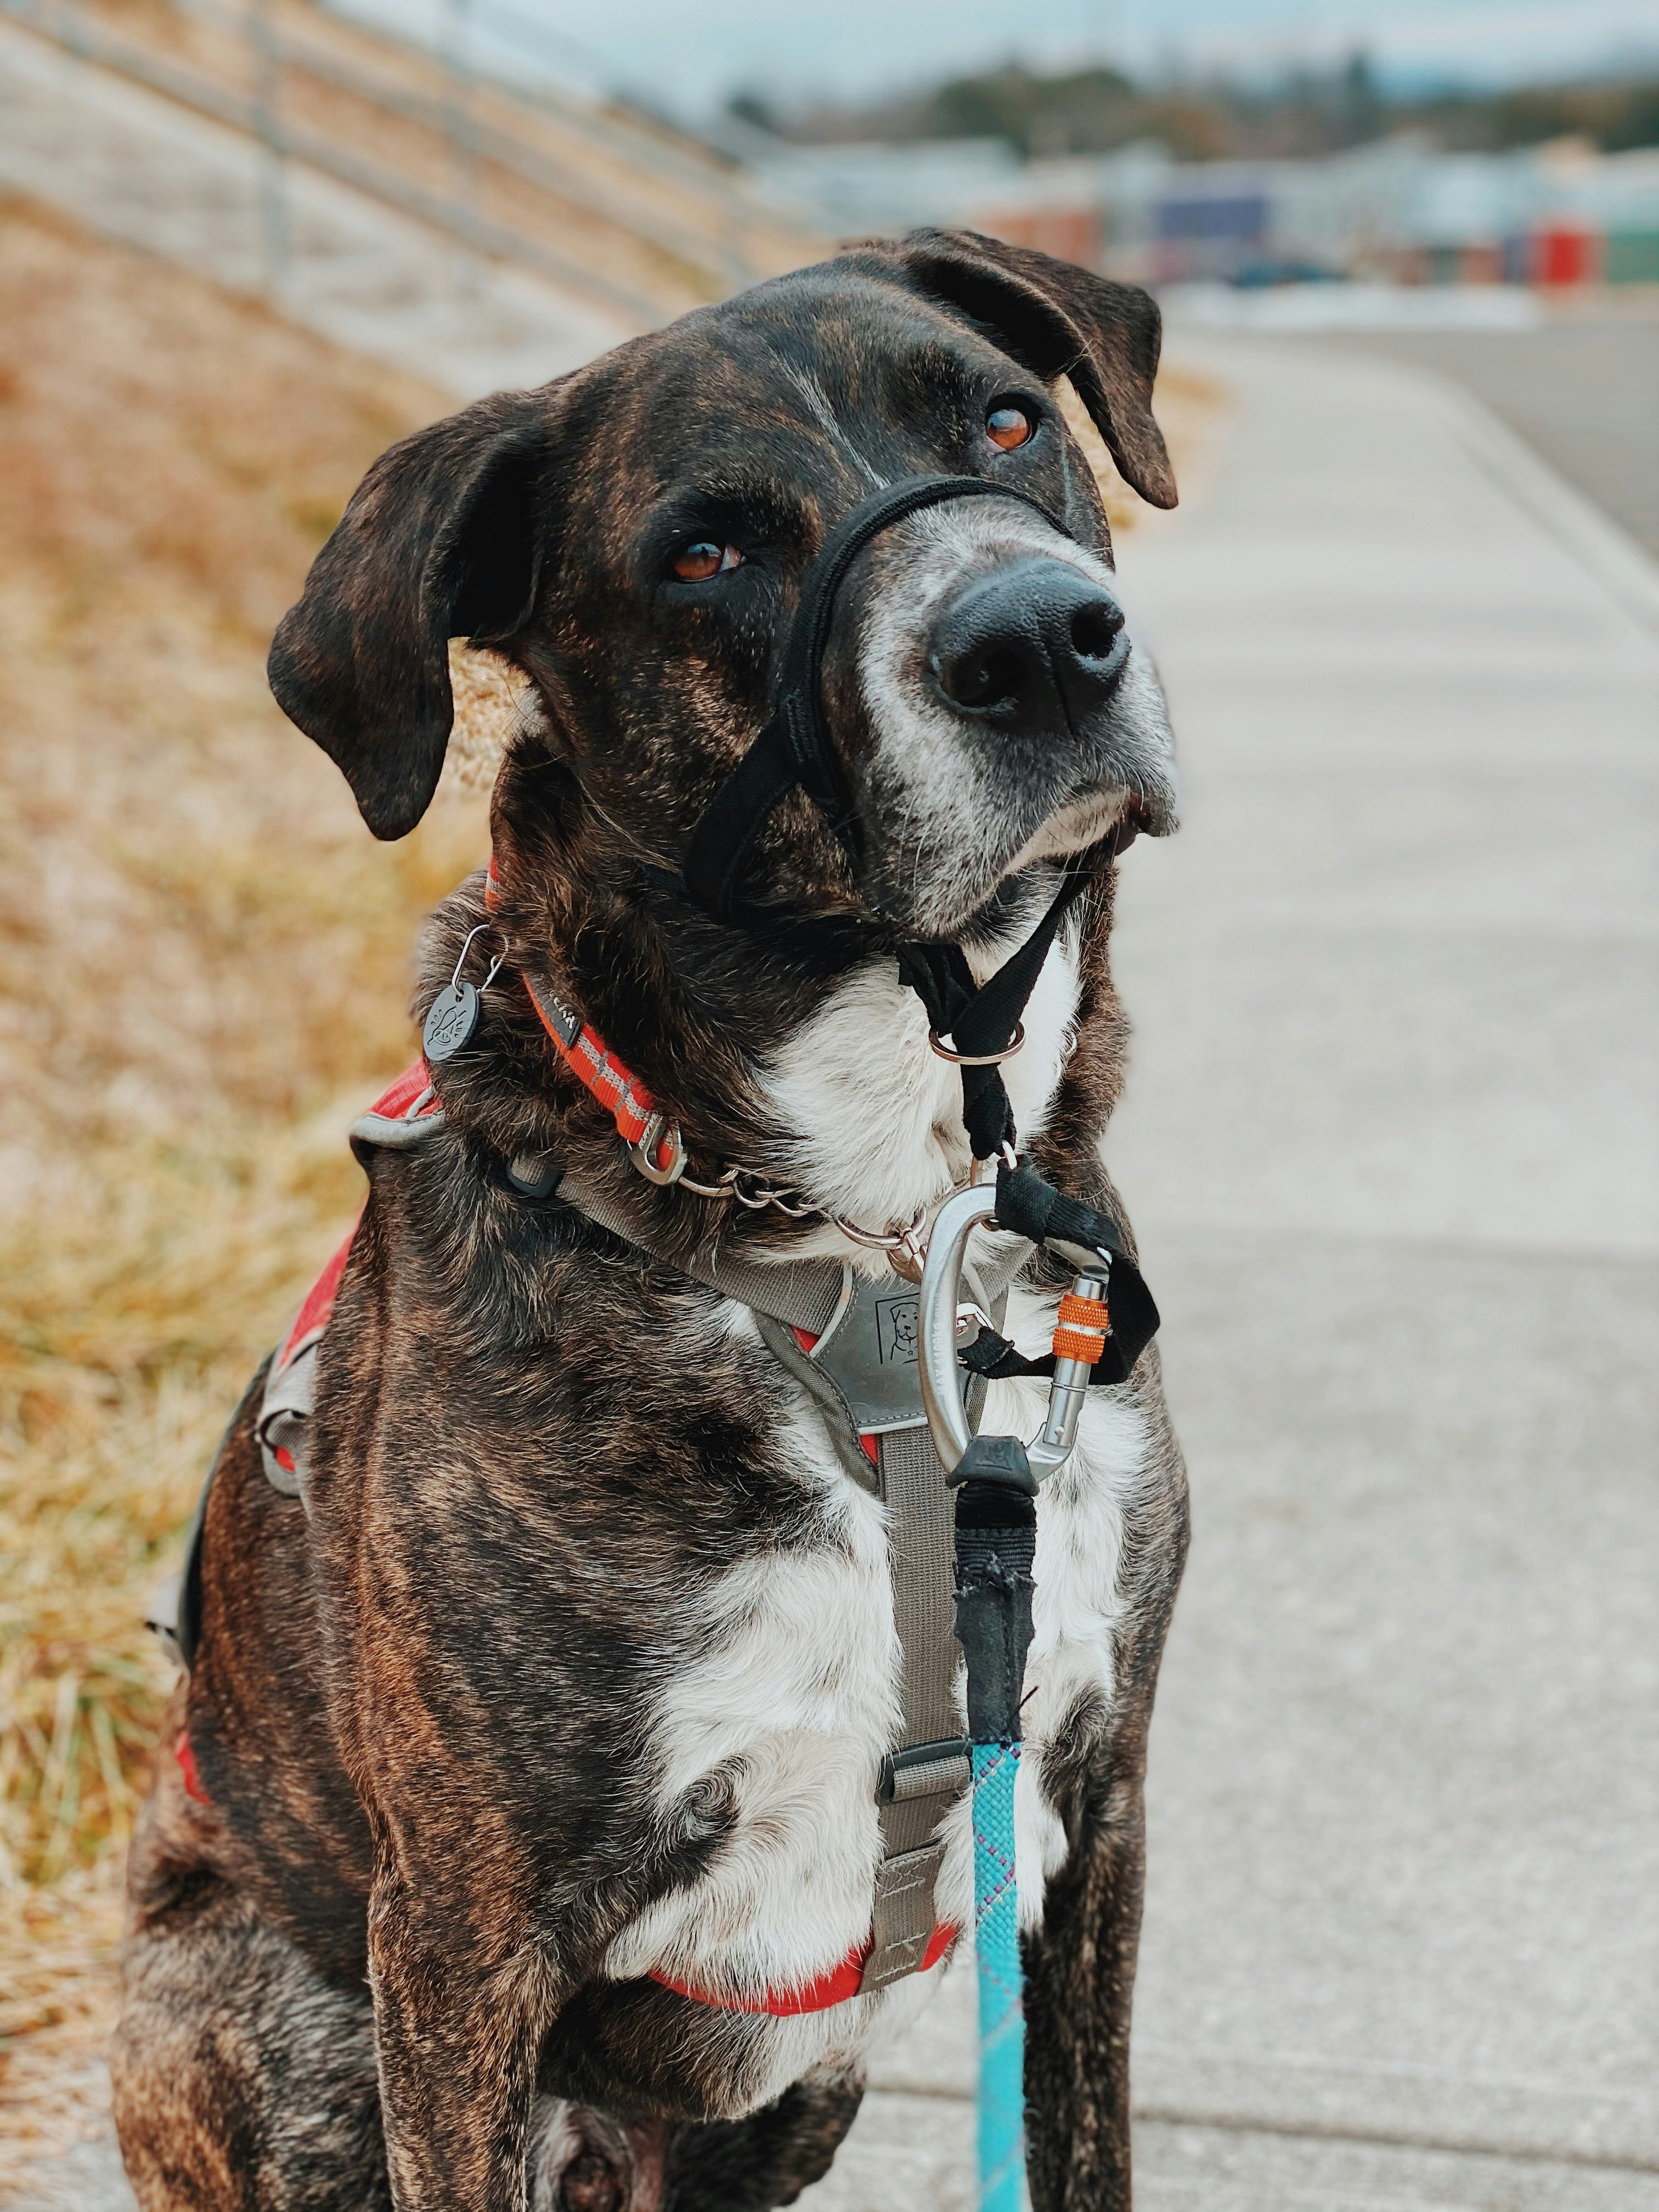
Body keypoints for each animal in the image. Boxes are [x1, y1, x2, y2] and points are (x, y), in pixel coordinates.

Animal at [107, 229, 1194, 2212]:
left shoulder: (1093, 1799)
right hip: (293, 2046)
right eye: (704, 552)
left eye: (1007, 422)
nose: (1035, 640)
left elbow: (1085, 2144)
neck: (870, 1244)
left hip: (800, 2089)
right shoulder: (459, 1937)